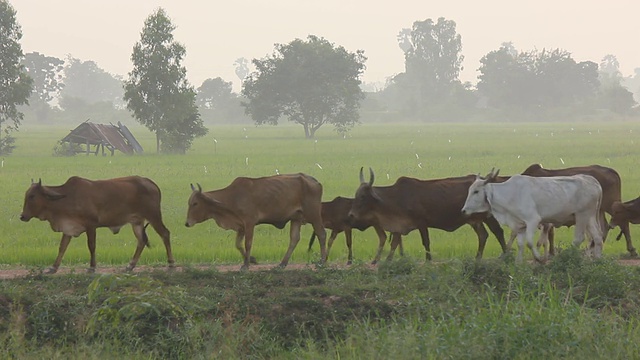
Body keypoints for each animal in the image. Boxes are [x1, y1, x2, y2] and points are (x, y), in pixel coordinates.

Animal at [20, 176, 175, 272]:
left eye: (32, 196)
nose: (22, 216)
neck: (67, 198)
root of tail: (151, 183)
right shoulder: (68, 228)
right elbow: (62, 248)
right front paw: (53, 267)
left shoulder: (91, 226)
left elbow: (91, 246)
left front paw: (92, 267)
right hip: (136, 222)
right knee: (141, 241)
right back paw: (130, 265)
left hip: (154, 216)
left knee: (165, 234)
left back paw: (171, 263)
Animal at [184, 173, 324, 268]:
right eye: (189, 202)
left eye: (195, 203)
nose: (187, 223)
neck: (232, 197)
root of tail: (315, 181)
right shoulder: (241, 226)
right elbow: (238, 244)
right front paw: (251, 259)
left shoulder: (249, 223)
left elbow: (248, 243)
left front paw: (246, 265)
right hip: (296, 218)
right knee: (294, 239)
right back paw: (282, 263)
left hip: (314, 215)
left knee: (321, 234)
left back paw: (322, 261)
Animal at [348, 167, 508, 262]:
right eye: (356, 195)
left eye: (363, 196)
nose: (351, 215)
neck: (397, 197)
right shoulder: (399, 226)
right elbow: (394, 243)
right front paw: (387, 260)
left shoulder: (421, 222)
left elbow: (426, 242)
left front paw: (428, 260)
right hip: (474, 220)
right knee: (483, 235)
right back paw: (478, 258)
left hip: (488, 216)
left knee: (498, 232)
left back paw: (506, 255)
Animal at [458, 169, 604, 262]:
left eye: (476, 191)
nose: (463, 211)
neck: (510, 194)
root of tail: (593, 181)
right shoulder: (520, 225)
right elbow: (520, 244)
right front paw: (518, 262)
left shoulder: (533, 220)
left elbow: (529, 242)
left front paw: (539, 258)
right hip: (589, 218)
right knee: (597, 237)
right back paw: (597, 260)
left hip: (581, 216)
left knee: (579, 238)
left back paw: (567, 257)